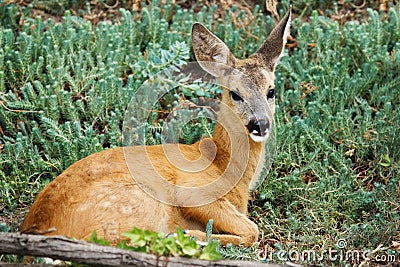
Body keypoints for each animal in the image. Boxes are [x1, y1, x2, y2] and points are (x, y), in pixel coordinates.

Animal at [21, 9, 290, 248]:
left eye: (271, 91)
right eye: (235, 94)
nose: (260, 124)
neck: (224, 166)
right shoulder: (193, 190)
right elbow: (253, 229)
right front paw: (193, 235)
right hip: (142, 202)